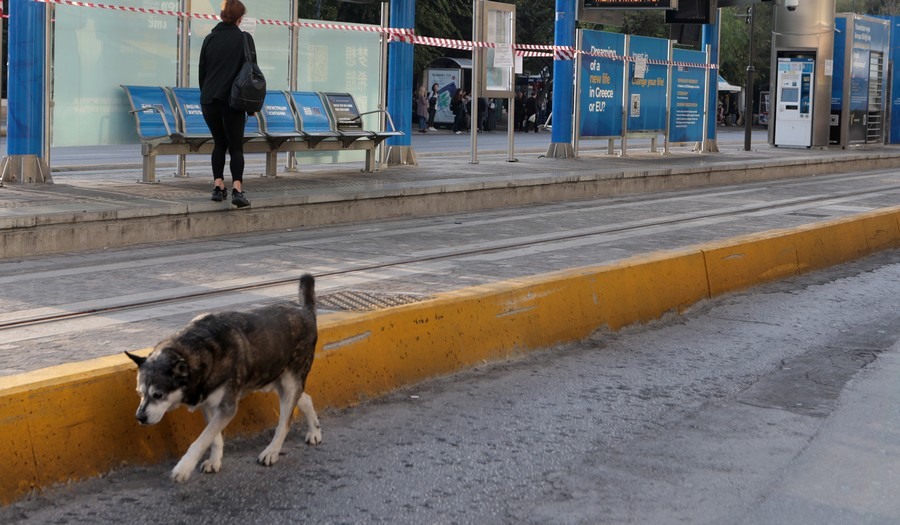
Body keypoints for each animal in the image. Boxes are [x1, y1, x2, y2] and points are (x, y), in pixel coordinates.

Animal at [125, 272, 324, 482]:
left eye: (158, 395)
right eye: (140, 393)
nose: (140, 417)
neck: (199, 351)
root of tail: (306, 312)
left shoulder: (226, 407)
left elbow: (202, 440)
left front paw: (184, 466)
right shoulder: (208, 404)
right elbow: (213, 438)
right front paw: (214, 460)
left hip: (289, 382)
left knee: (284, 423)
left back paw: (272, 450)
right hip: (276, 379)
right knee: (305, 399)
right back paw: (314, 430)